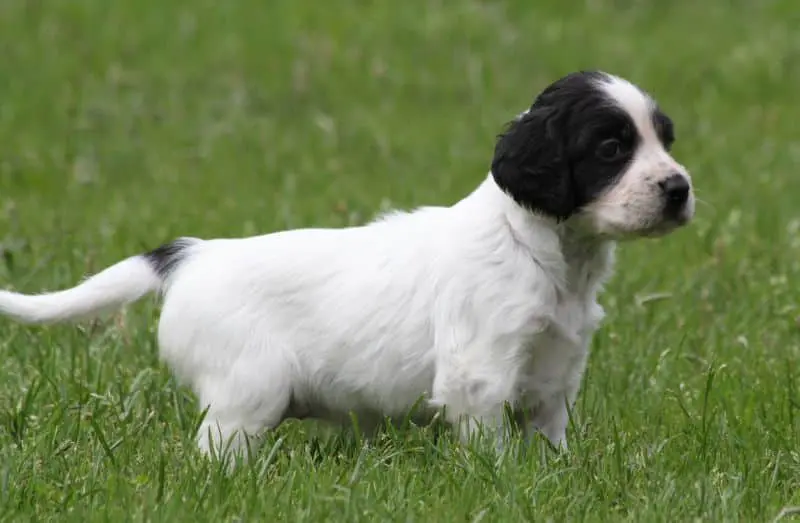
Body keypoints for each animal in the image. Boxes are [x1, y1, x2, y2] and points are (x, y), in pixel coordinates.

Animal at [0, 71, 694, 464]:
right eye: (611, 148)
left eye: (665, 139)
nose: (679, 188)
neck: (544, 250)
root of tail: (193, 254)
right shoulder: (480, 372)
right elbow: (492, 451)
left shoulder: (555, 371)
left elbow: (549, 441)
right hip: (247, 392)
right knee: (214, 453)